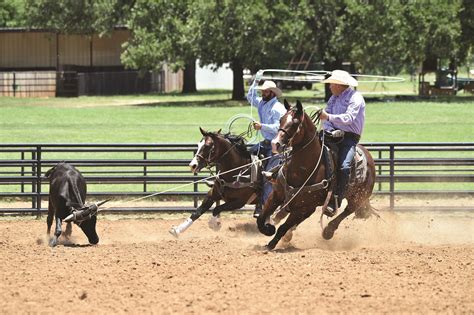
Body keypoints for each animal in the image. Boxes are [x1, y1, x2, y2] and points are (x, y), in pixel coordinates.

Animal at [258, 100, 376, 251]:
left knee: (348, 210)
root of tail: (368, 156)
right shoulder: (277, 194)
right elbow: (261, 218)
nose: (275, 144)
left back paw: (328, 231)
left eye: (295, 122)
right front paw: (268, 228)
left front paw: (271, 243)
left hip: (358, 196)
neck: (301, 168)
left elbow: (283, 227)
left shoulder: (306, 207)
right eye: (281, 119)